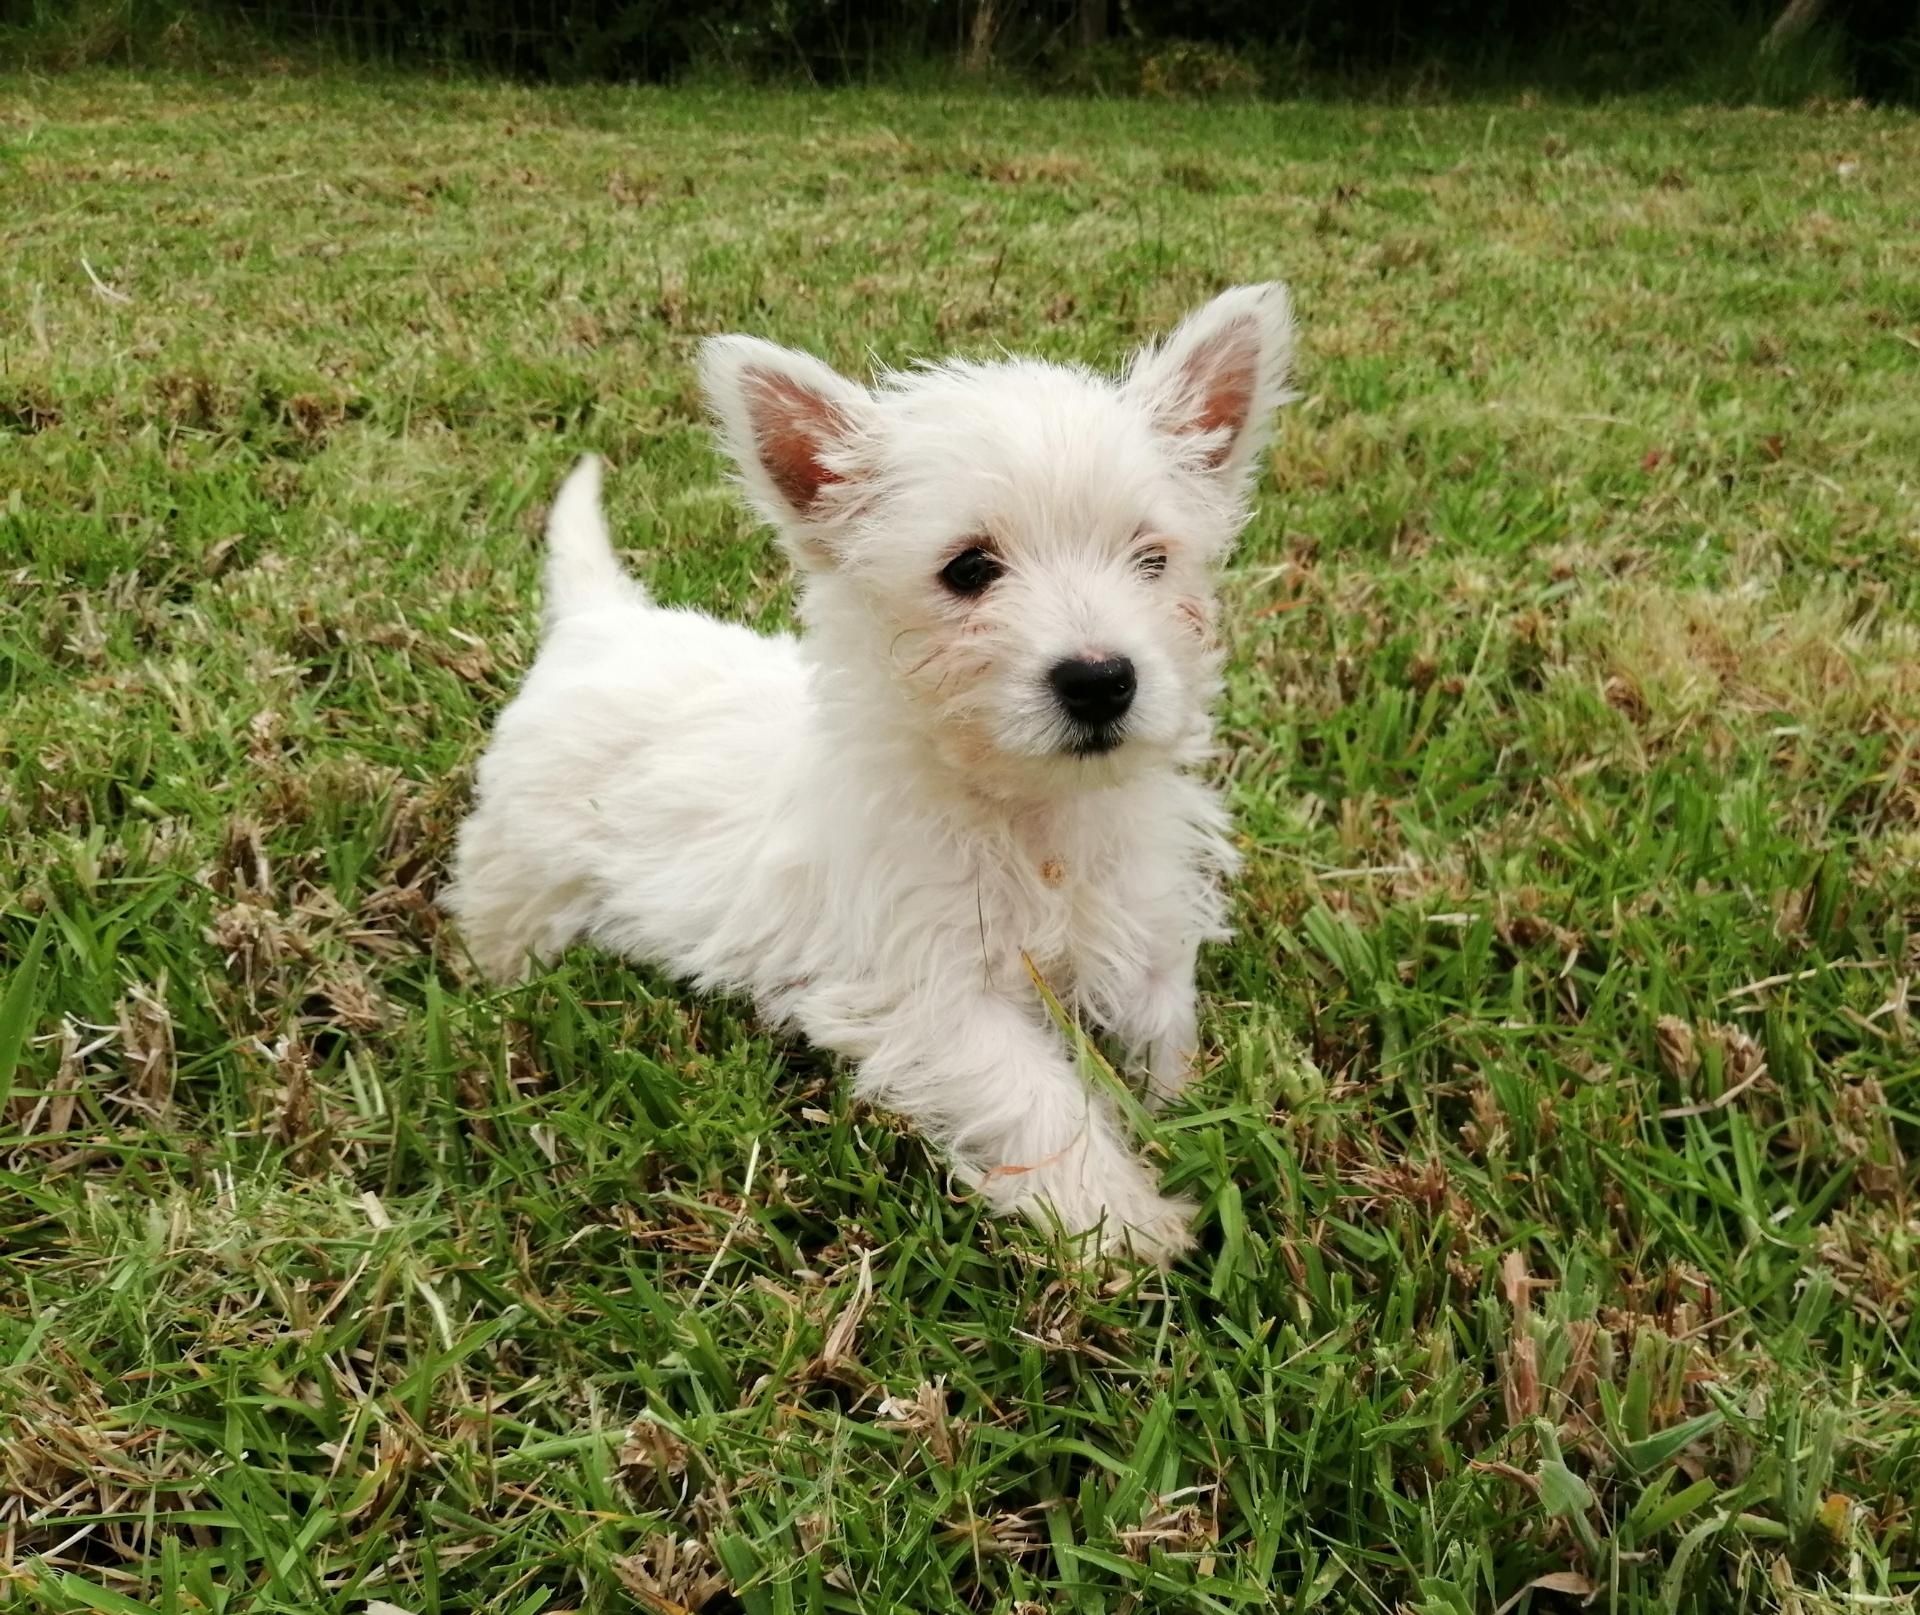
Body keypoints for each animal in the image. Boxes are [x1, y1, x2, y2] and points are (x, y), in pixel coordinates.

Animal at [441, 286, 1297, 1259]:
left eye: (1152, 558)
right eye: (969, 569)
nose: (1101, 679)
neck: (1029, 813)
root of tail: (600, 622)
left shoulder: (1143, 932)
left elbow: (1164, 1036)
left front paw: (1190, 1119)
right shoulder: (927, 990)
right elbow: (1036, 1095)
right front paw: (1124, 1220)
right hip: (521, 867)